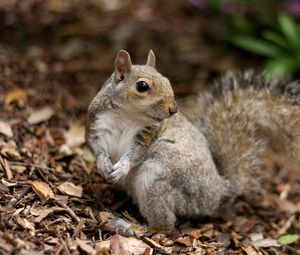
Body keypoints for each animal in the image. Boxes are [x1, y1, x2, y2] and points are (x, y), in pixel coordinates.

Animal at [84, 49, 300, 231]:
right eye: (142, 86)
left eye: (168, 80)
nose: (173, 110)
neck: (127, 115)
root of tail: (219, 192)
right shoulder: (97, 123)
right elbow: (95, 146)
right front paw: (103, 164)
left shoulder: (148, 134)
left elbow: (136, 153)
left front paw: (122, 167)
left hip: (157, 181)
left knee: (166, 225)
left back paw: (132, 227)